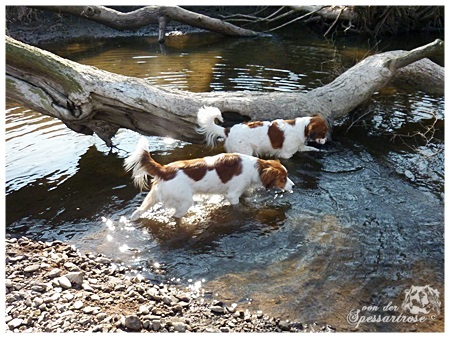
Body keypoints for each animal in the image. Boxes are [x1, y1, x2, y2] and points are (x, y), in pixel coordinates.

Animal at [125, 137, 294, 219]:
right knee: (175, 216)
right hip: (185, 201)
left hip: (153, 198)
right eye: (283, 178)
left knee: (137, 212)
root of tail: (165, 169)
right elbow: (238, 207)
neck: (254, 168)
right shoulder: (233, 195)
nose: (293, 186)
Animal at [197, 107, 326, 158]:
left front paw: (319, 151)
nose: (326, 141)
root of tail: (228, 130)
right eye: (324, 132)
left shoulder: (299, 147)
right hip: (246, 151)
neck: (301, 128)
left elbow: (311, 148)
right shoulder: (286, 155)